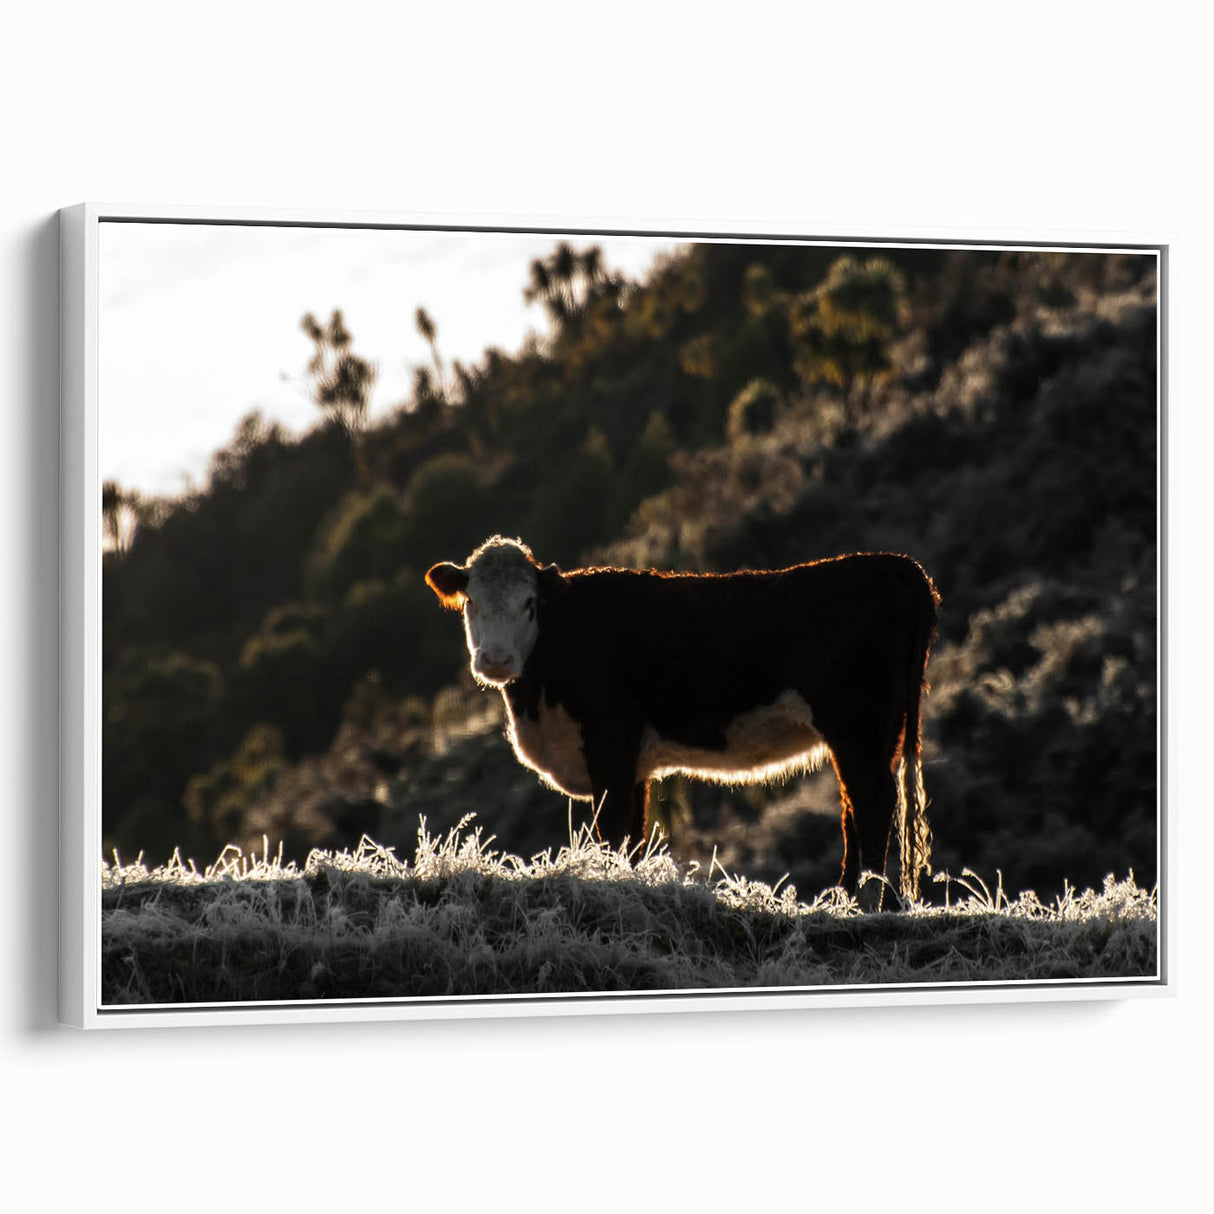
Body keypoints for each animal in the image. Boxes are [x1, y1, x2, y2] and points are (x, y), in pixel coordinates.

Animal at [426, 536, 939, 904]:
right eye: (471, 602)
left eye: (529, 604)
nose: (496, 660)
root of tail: (893, 564)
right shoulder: (633, 764)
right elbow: (632, 835)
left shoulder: (610, 745)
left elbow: (612, 829)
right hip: (872, 734)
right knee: (860, 806)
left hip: (858, 728)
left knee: (871, 804)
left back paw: (858, 901)